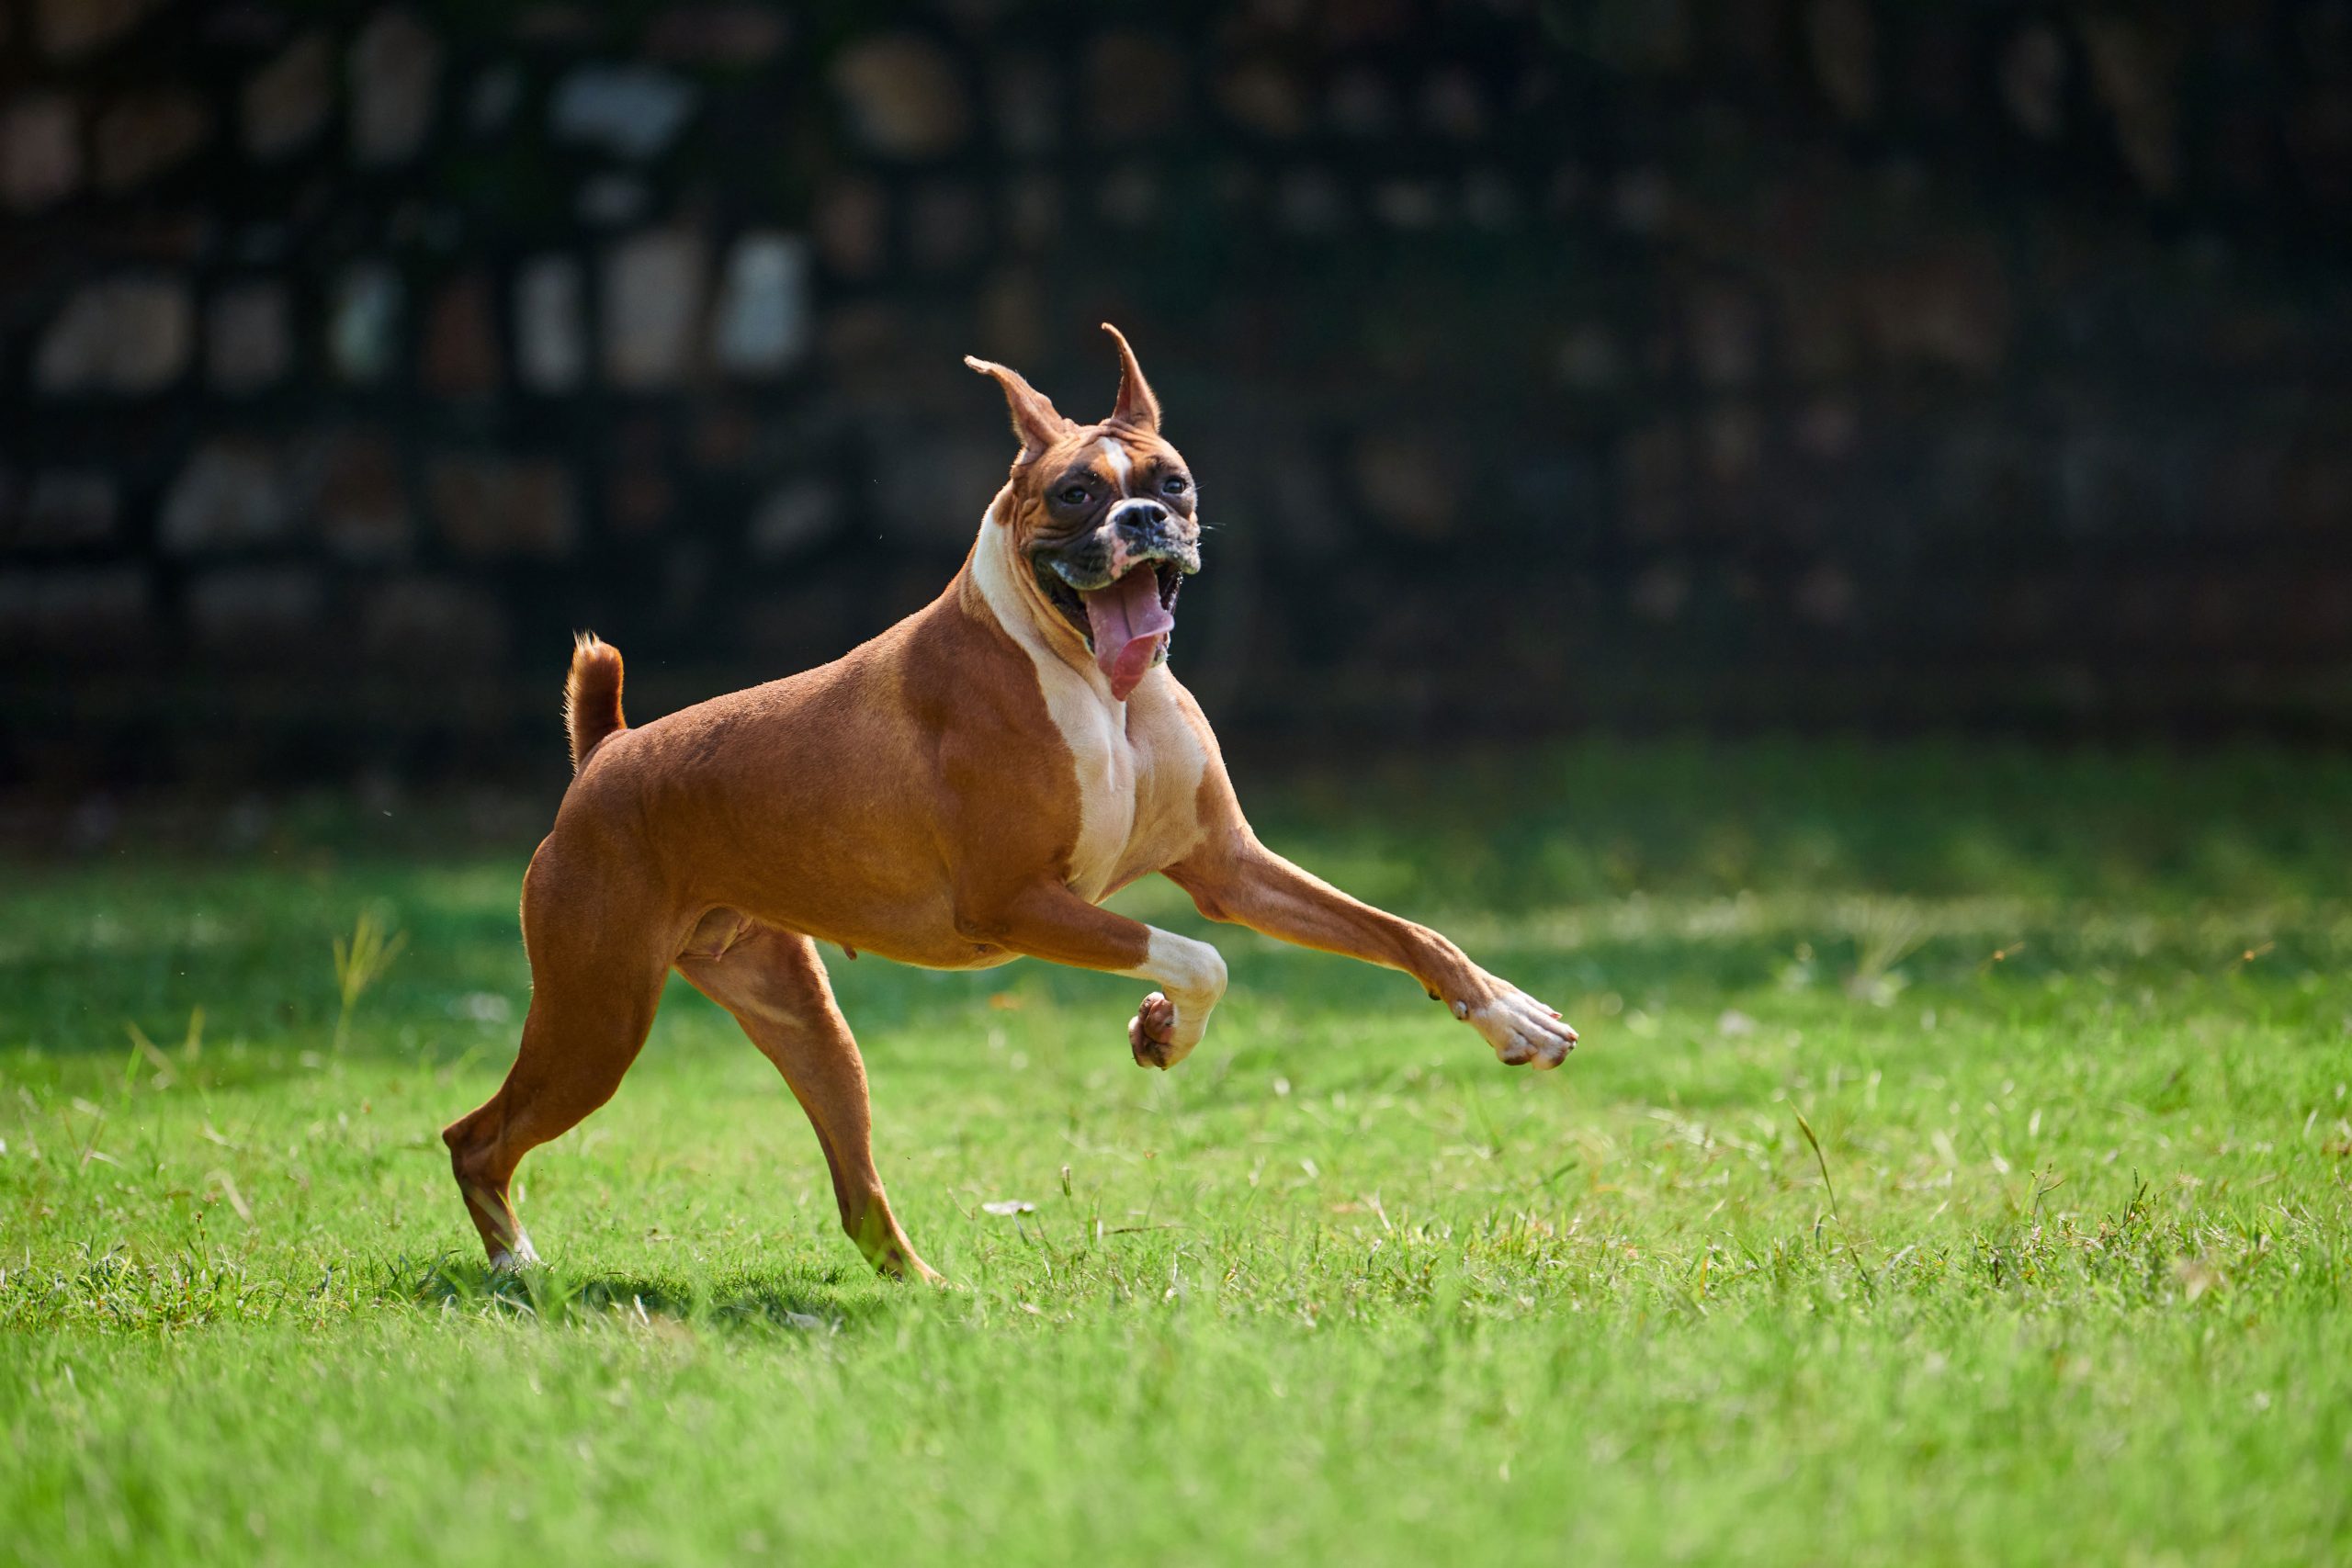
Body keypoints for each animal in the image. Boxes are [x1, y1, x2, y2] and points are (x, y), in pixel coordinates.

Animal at [442, 324, 1580, 1279]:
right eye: (1074, 494)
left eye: (1173, 482)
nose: (1142, 518)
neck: (1090, 680)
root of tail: (608, 753)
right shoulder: (1018, 904)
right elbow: (1198, 959)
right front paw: (1164, 1030)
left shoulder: (1231, 868)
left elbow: (1405, 932)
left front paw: (1509, 1014)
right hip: (598, 1021)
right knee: (474, 1136)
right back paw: (517, 1270)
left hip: (805, 1029)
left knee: (854, 1191)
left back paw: (922, 1295)